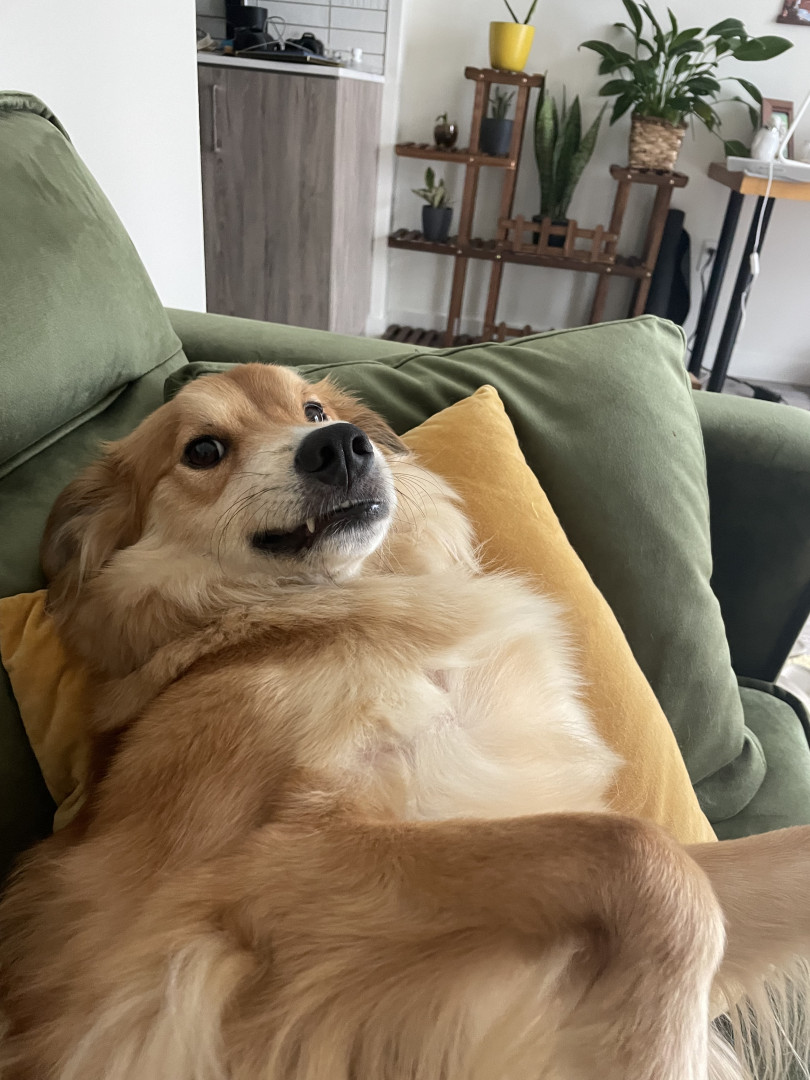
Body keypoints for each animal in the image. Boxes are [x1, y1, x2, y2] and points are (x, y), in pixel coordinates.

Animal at [1, 362, 809, 1080]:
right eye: (203, 450)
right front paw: (653, 1050)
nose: (341, 445)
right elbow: (644, 858)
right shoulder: (244, 876)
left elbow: (716, 871)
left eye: (312, 410)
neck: (312, 615)